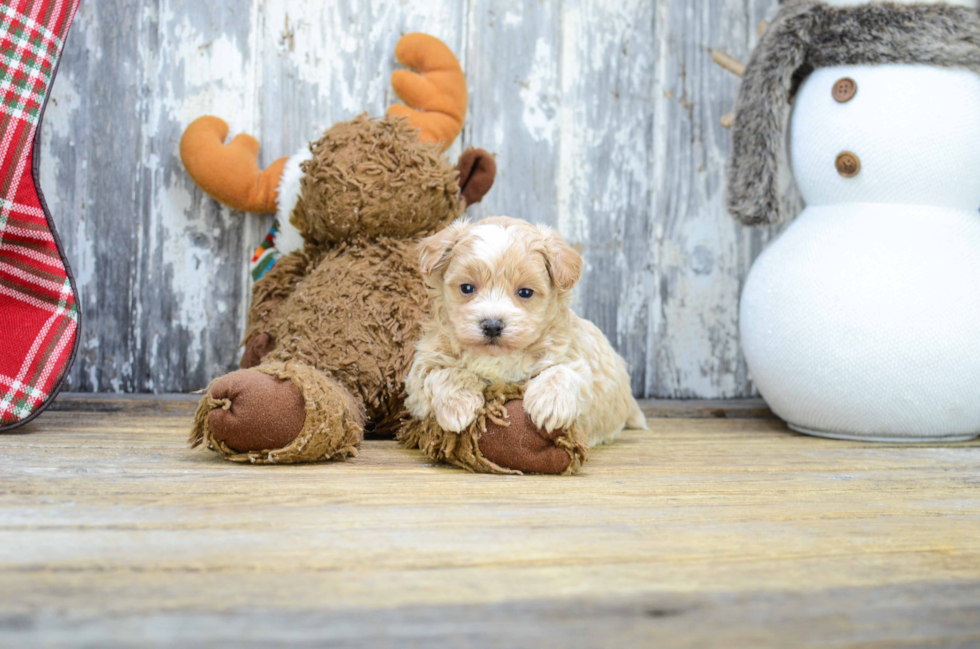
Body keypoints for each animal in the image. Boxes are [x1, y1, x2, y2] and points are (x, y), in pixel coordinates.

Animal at [408, 218, 652, 446]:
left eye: (525, 292)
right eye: (467, 288)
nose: (492, 325)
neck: (498, 357)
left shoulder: (575, 360)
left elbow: (562, 372)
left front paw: (549, 406)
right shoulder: (419, 376)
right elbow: (444, 372)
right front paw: (457, 407)